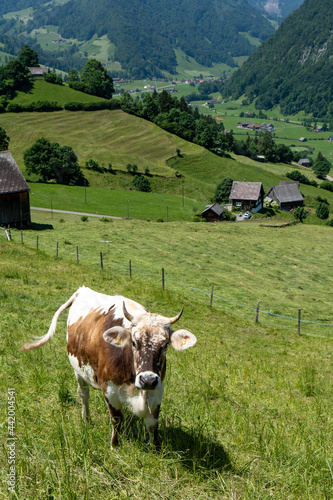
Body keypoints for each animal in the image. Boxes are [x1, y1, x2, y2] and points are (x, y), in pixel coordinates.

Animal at [19, 288, 196, 448]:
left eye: (165, 345)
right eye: (133, 342)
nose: (147, 380)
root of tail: (82, 290)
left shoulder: (158, 389)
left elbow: (152, 423)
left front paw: (154, 450)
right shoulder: (110, 389)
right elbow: (116, 419)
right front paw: (115, 446)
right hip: (78, 370)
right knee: (84, 395)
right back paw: (86, 419)